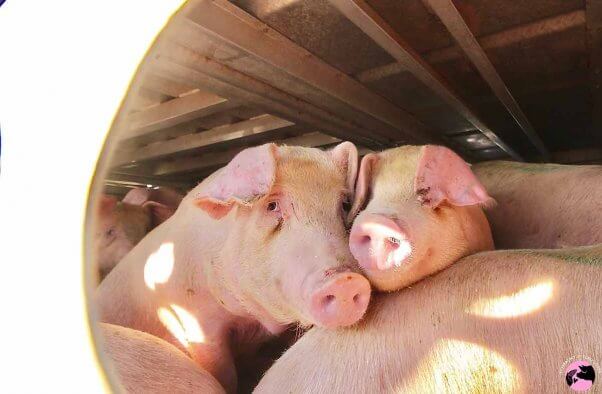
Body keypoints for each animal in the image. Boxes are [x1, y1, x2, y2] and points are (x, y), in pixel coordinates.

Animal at [94, 143, 370, 392]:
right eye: (271, 205)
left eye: (344, 204)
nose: (345, 280)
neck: (253, 320)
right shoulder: (196, 321)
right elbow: (223, 374)